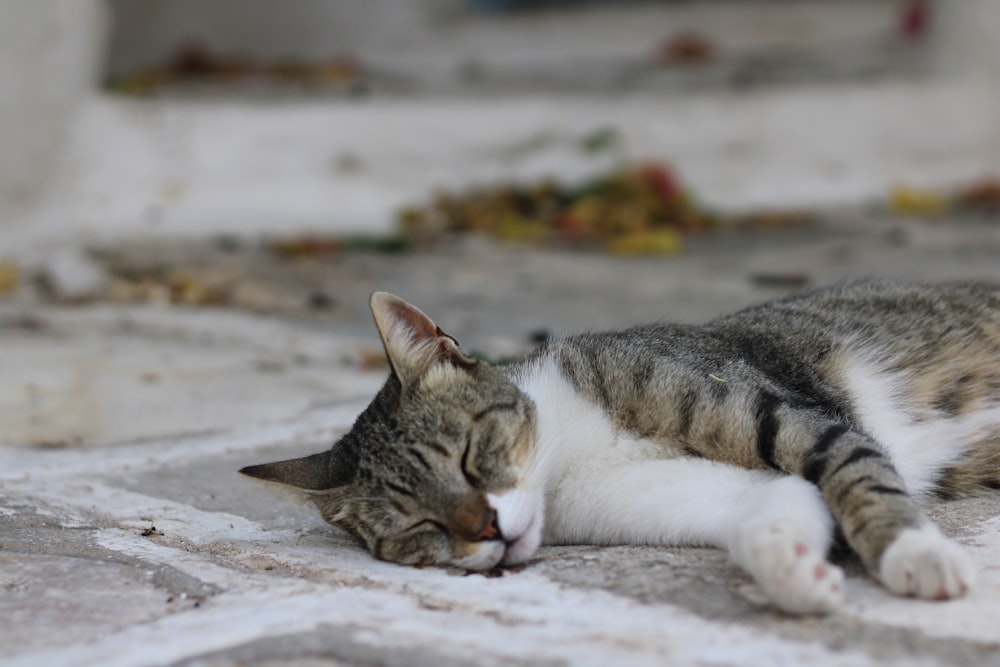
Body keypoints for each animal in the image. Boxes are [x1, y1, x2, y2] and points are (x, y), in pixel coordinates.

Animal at [242, 278, 1000, 616]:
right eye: (417, 528)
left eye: (469, 454)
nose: (487, 530)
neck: (565, 453)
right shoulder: (705, 491)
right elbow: (774, 507)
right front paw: (791, 571)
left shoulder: (789, 416)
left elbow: (858, 473)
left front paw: (915, 552)